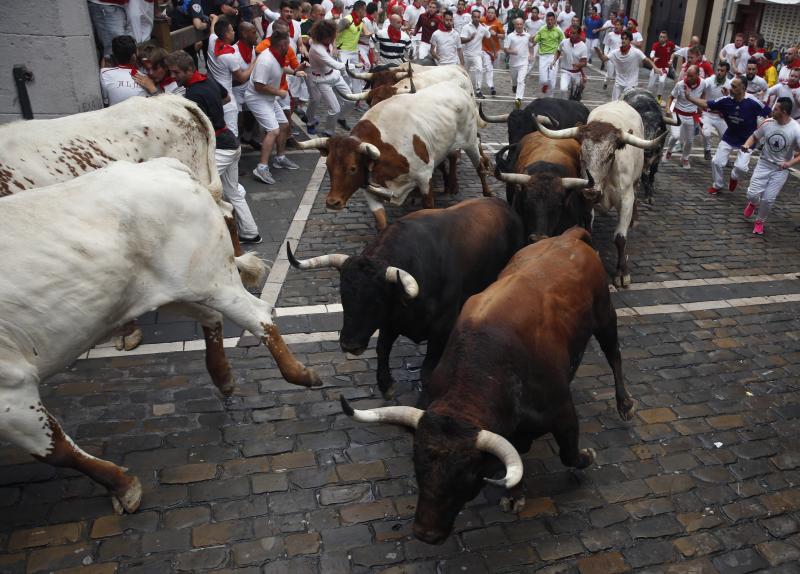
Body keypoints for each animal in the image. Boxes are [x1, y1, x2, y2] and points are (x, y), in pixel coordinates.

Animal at [0, 161, 318, 516]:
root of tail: (165, 165)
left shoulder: (11, 388)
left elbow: (56, 450)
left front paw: (124, 487)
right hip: (170, 292)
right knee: (212, 317)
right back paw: (224, 378)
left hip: (211, 281)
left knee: (258, 314)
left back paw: (300, 374)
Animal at [284, 198, 520, 400]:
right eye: (343, 296)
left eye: (375, 302)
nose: (349, 344)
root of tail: (503, 205)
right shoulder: (390, 322)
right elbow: (382, 348)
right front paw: (386, 385)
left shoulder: (441, 326)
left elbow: (428, 368)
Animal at [296, 79, 494, 232]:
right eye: (328, 165)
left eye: (352, 168)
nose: (332, 202)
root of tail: (455, 87)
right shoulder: (368, 188)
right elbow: (381, 222)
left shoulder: (424, 177)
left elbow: (428, 205)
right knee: (453, 156)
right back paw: (451, 185)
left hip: (470, 141)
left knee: (480, 167)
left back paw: (487, 193)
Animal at [340, 227, 636, 548]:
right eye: (417, 466)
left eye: (467, 474)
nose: (425, 534)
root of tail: (568, 236)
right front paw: (515, 493)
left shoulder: (563, 413)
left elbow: (568, 454)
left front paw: (587, 456)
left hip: (605, 316)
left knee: (615, 356)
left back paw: (625, 404)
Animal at [536, 102, 664, 290]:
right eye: (581, 155)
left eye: (610, 155)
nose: (592, 191)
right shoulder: (585, 199)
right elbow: (588, 226)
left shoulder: (626, 200)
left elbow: (620, 237)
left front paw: (622, 273)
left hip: (636, 180)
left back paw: (635, 219)